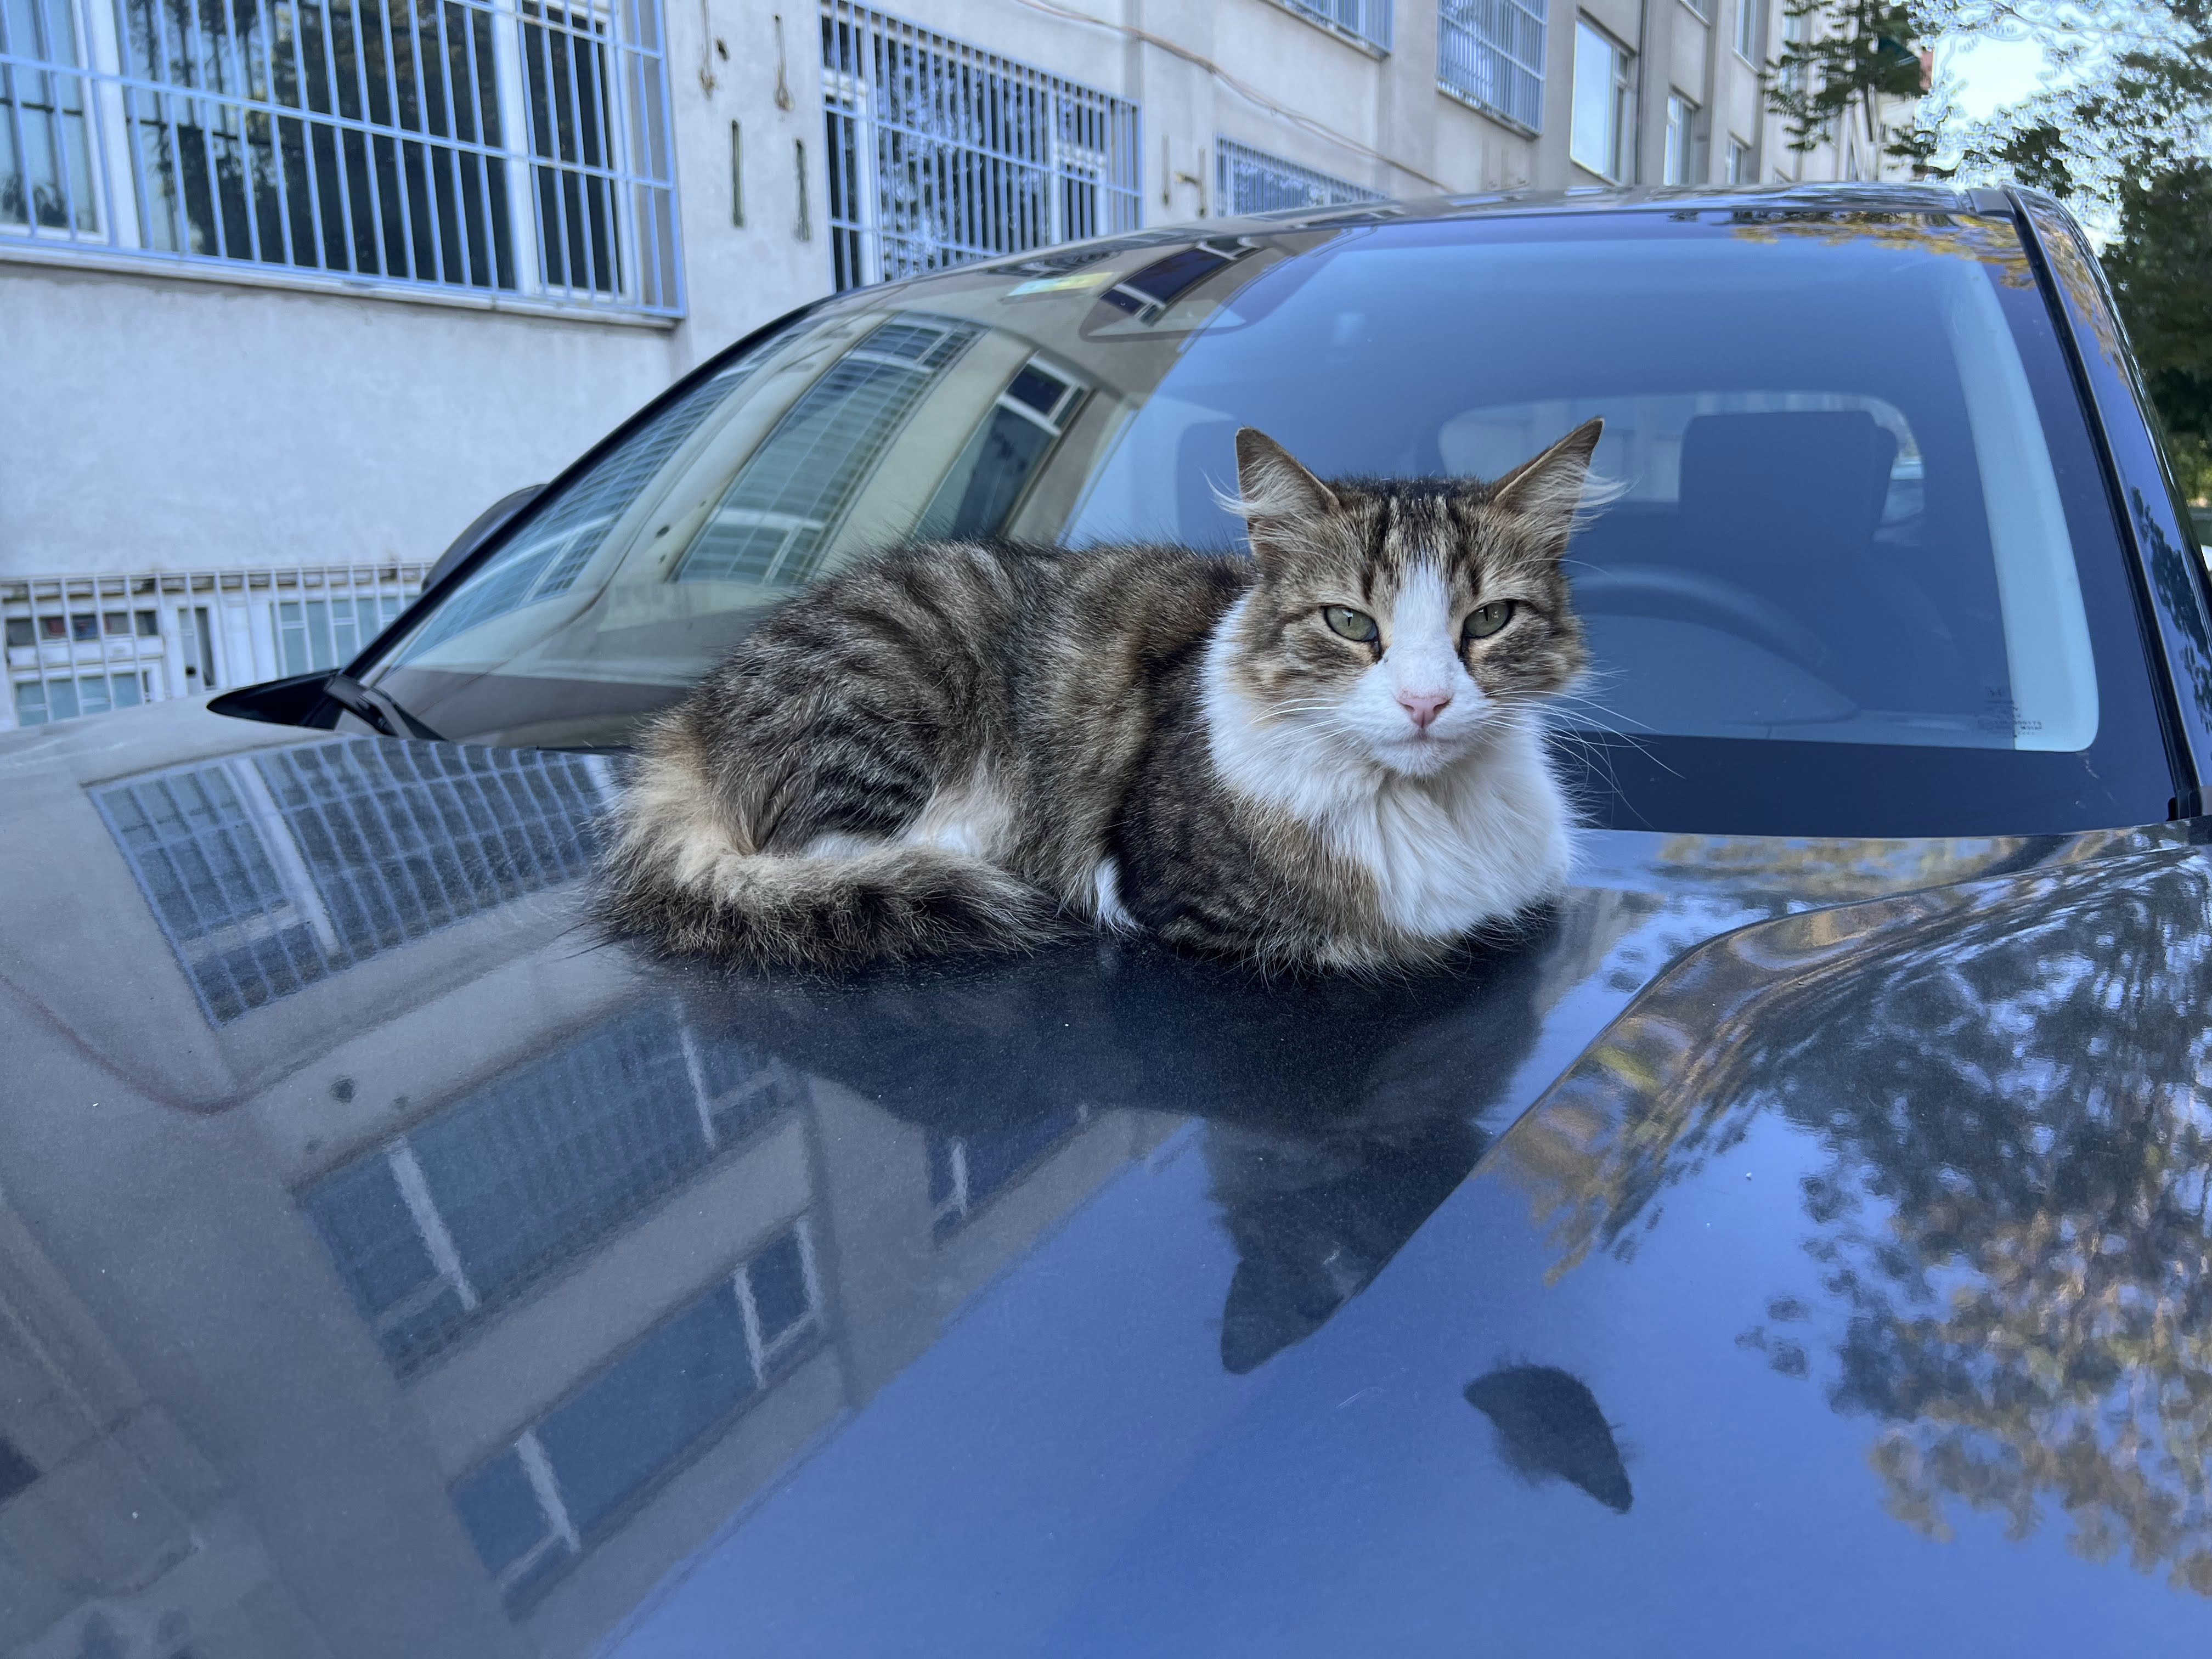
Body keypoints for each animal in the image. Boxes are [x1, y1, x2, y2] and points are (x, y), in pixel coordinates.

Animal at [597, 418, 1602, 972]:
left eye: (1490, 619)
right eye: (1351, 623)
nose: (1426, 702)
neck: (1422, 808)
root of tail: (688, 723)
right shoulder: (1175, 889)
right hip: (902, 675)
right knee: (832, 853)